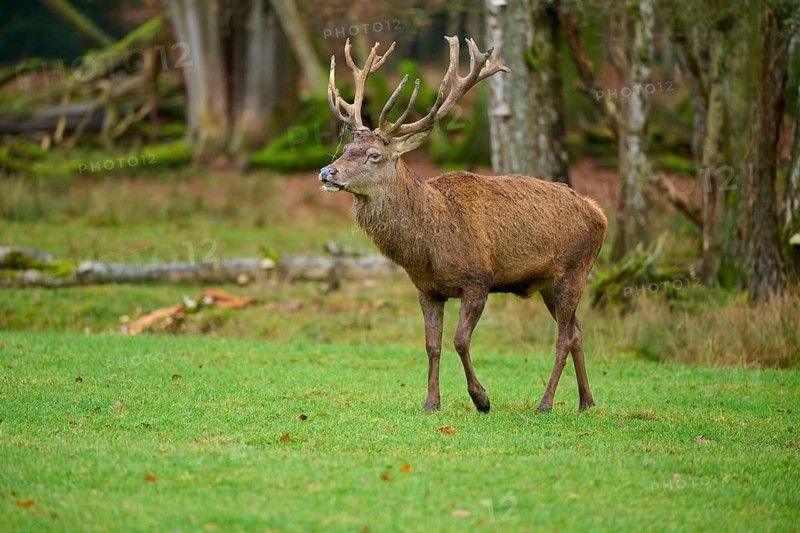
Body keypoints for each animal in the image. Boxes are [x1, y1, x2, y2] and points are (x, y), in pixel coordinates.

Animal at [319, 36, 607, 414]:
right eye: (346, 147)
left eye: (374, 155)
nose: (327, 172)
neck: (429, 244)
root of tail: (599, 213)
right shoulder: (427, 289)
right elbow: (432, 345)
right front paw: (431, 402)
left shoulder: (477, 280)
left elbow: (459, 340)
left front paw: (481, 398)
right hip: (548, 282)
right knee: (577, 329)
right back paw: (586, 401)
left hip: (574, 269)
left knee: (564, 336)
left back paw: (545, 403)